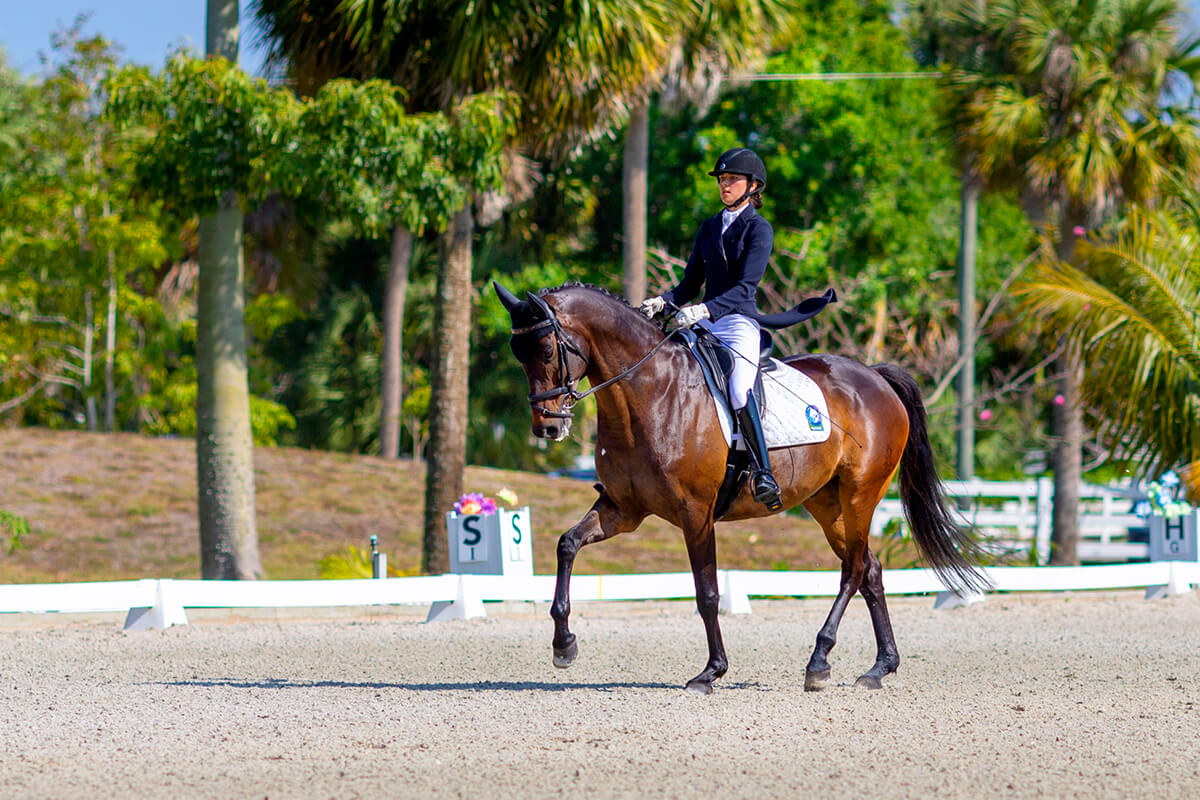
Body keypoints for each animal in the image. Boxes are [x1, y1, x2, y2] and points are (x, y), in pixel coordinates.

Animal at [492, 281, 988, 695]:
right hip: (826, 503)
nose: (547, 427)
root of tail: (876, 376)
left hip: (861, 493)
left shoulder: (696, 513)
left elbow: (707, 592)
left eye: (545, 349)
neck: (649, 392)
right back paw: (880, 667)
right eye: (517, 353)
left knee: (852, 570)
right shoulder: (623, 508)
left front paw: (711, 672)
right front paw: (564, 645)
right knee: (870, 568)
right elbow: (567, 544)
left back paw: (819, 661)